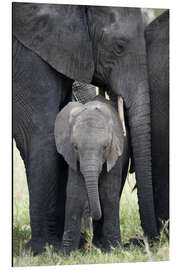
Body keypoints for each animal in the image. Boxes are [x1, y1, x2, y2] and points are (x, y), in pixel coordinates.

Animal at [54, 96, 129, 254]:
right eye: (75, 147)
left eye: (105, 147)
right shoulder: (72, 156)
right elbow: (75, 193)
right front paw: (65, 254)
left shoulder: (115, 153)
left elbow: (108, 193)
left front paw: (115, 250)